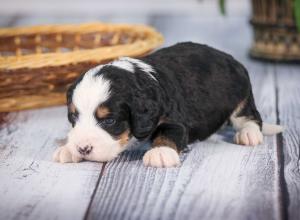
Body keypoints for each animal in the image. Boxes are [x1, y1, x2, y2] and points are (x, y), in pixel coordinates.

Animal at [52, 42, 284, 168]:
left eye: (109, 121)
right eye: (73, 117)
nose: (83, 148)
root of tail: (232, 59)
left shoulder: (174, 120)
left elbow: (167, 133)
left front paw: (160, 152)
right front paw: (68, 149)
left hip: (240, 96)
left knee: (251, 117)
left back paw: (248, 134)